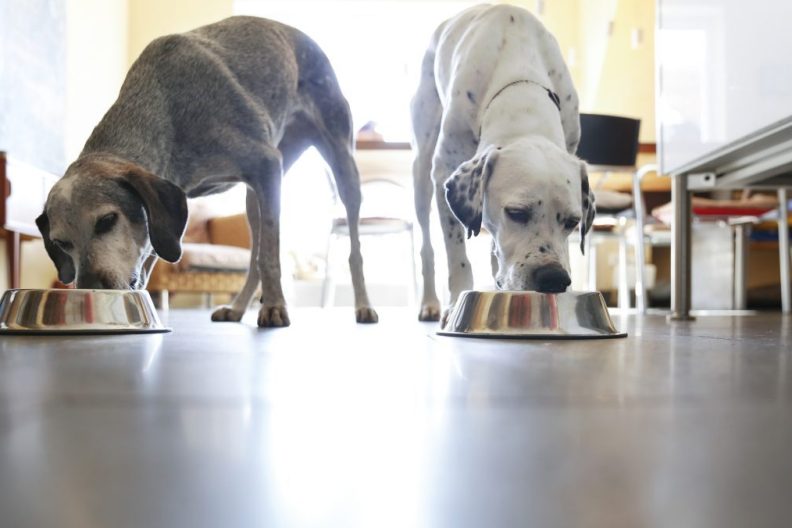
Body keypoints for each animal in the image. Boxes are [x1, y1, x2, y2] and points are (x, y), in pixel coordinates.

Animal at [37, 16, 380, 326]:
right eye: (61, 243)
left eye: (107, 221)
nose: (91, 289)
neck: (166, 111)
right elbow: (152, 253)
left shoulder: (266, 163)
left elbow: (270, 258)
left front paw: (275, 308)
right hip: (255, 199)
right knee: (254, 258)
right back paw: (238, 308)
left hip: (339, 165)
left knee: (352, 249)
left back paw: (363, 305)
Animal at [412, 4, 592, 324]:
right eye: (517, 213)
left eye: (572, 222)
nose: (554, 279)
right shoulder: (445, 171)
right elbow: (457, 255)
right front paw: (455, 304)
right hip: (422, 170)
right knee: (426, 246)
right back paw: (430, 302)